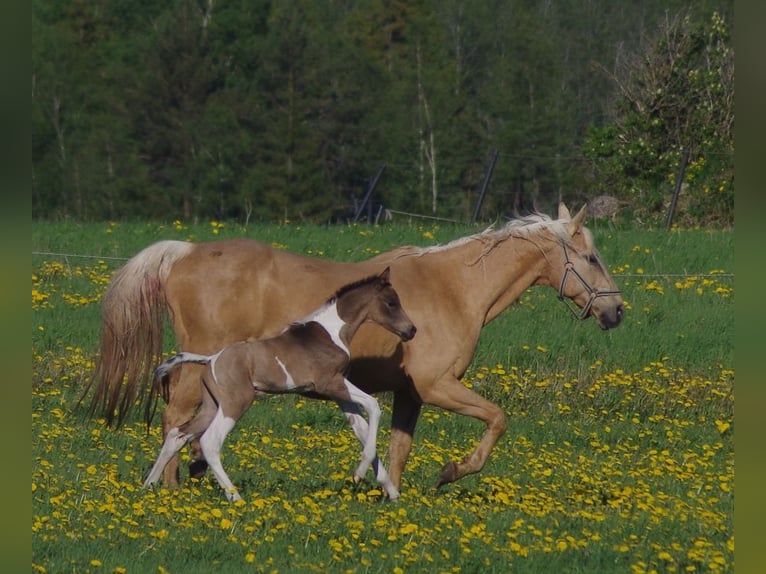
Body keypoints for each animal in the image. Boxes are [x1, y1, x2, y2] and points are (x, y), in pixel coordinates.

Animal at [144, 268, 420, 502]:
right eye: (391, 303)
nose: (411, 330)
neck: (332, 332)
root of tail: (211, 359)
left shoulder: (339, 393)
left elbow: (361, 427)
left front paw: (391, 491)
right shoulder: (330, 383)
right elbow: (373, 406)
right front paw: (359, 474)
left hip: (212, 405)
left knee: (177, 434)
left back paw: (149, 484)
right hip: (236, 402)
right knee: (210, 442)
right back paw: (235, 496)